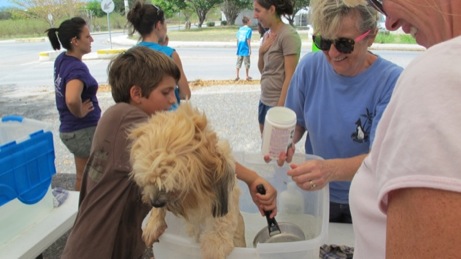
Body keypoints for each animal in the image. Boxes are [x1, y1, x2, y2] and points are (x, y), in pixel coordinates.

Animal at [127, 103, 246, 259]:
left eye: (173, 185)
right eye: (150, 181)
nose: (155, 202)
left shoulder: (226, 198)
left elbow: (222, 221)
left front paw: (214, 244)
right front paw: (153, 223)